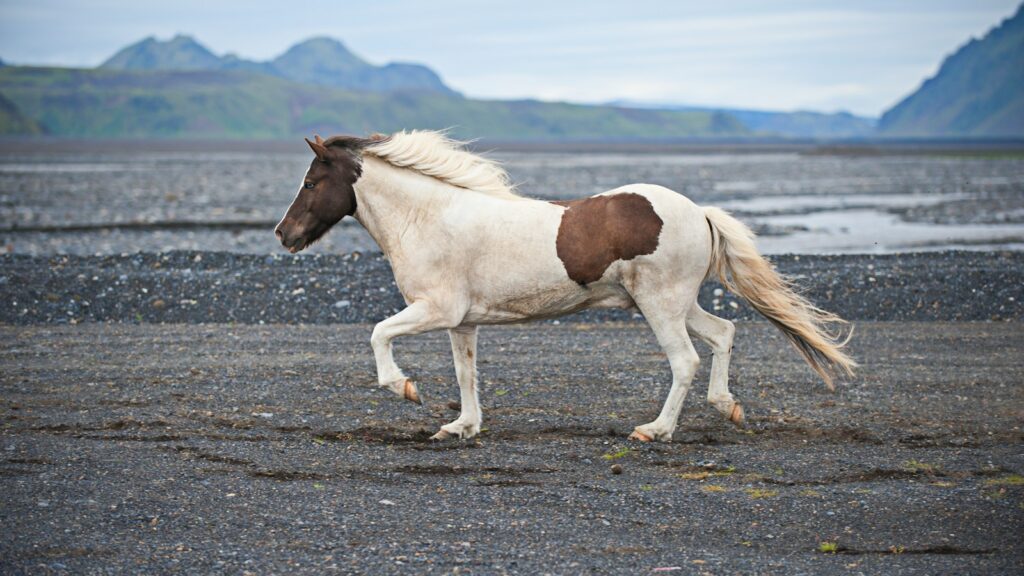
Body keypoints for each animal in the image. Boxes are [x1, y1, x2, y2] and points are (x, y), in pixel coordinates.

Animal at [275, 131, 856, 442]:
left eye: (310, 182)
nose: (284, 234)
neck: (430, 216)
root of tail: (699, 212)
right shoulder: (462, 322)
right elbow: (466, 375)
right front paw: (461, 427)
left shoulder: (434, 309)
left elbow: (378, 334)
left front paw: (405, 388)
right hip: (676, 302)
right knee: (723, 333)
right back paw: (727, 406)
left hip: (660, 304)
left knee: (686, 360)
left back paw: (654, 430)